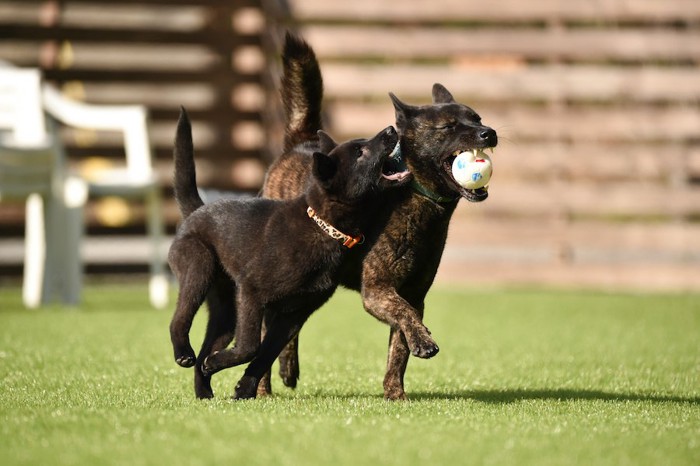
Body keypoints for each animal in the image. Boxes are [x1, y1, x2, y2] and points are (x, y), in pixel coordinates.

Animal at [167, 104, 404, 396]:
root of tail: (196, 211)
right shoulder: (252, 292)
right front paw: (227, 372)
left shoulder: (294, 316)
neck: (324, 227)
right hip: (199, 268)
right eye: (360, 152)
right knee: (179, 320)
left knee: (205, 351)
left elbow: (265, 355)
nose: (391, 129)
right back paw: (184, 353)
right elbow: (251, 347)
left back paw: (204, 392)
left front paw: (243, 390)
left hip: (227, 311)